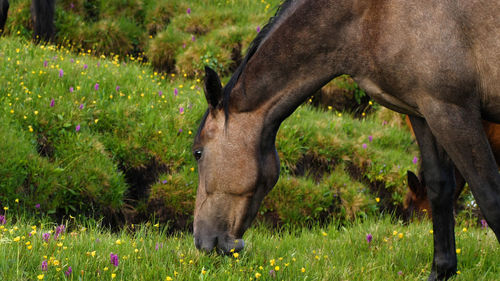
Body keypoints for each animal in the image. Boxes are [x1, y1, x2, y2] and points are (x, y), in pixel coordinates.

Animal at [193, 1, 500, 278]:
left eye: (197, 152)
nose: (201, 242)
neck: (371, 16)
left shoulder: (451, 110)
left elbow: (489, 197)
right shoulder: (423, 111)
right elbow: (440, 188)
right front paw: (442, 270)